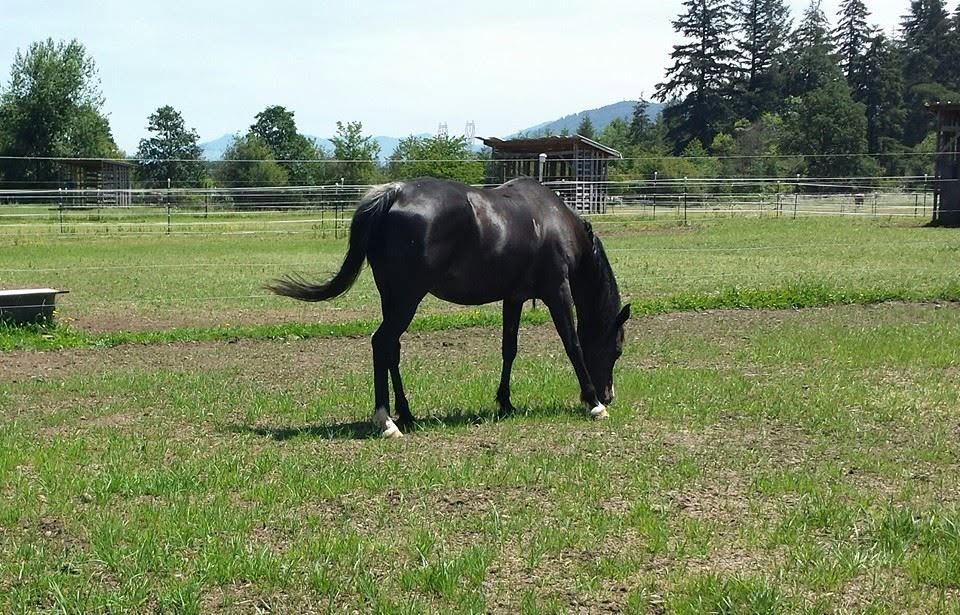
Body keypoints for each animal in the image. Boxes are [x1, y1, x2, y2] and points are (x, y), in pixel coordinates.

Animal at [268, 177, 630, 438]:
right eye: (617, 349)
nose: (609, 394)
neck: (553, 222)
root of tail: (395, 194)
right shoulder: (558, 291)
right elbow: (573, 344)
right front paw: (593, 404)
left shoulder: (513, 298)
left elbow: (509, 348)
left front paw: (505, 402)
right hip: (407, 298)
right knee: (381, 343)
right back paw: (387, 421)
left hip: (393, 298)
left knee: (391, 349)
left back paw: (406, 413)